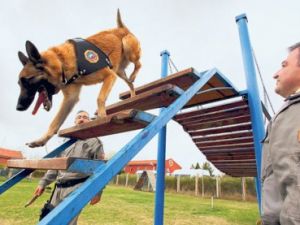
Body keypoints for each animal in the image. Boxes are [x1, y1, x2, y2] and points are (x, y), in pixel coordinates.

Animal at [16, 9, 142, 148]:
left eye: (28, 81)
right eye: (19, 83)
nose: (18, 108)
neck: (61, 62)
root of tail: (120, 28)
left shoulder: (109, 76)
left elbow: (100, 98)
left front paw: (102, 117)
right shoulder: (70, 99)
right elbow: (54, 123)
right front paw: (41, 140)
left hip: (128, 49)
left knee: (139, 64)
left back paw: (134, 75)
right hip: (119, 72)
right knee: (130, 83)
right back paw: (133, 95)